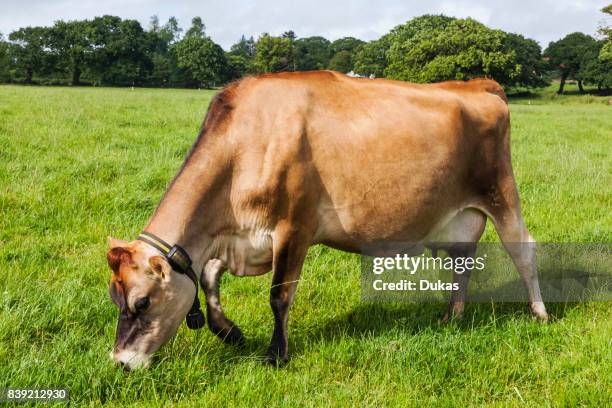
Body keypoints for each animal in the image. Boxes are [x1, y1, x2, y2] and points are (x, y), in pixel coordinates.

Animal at [106, 70, 548, 370]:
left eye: (142, 302)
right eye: (115, 298)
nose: (120, 362)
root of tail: (478, 84)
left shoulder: (294, 228)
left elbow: (279, 295)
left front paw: (276, 355)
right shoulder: (243, 239)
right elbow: (210, 276)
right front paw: (229, 331)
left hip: (502, 194)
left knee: (524, 252)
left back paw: (539, 312)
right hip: (457, 220)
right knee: (462, 263)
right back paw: (452, 316)